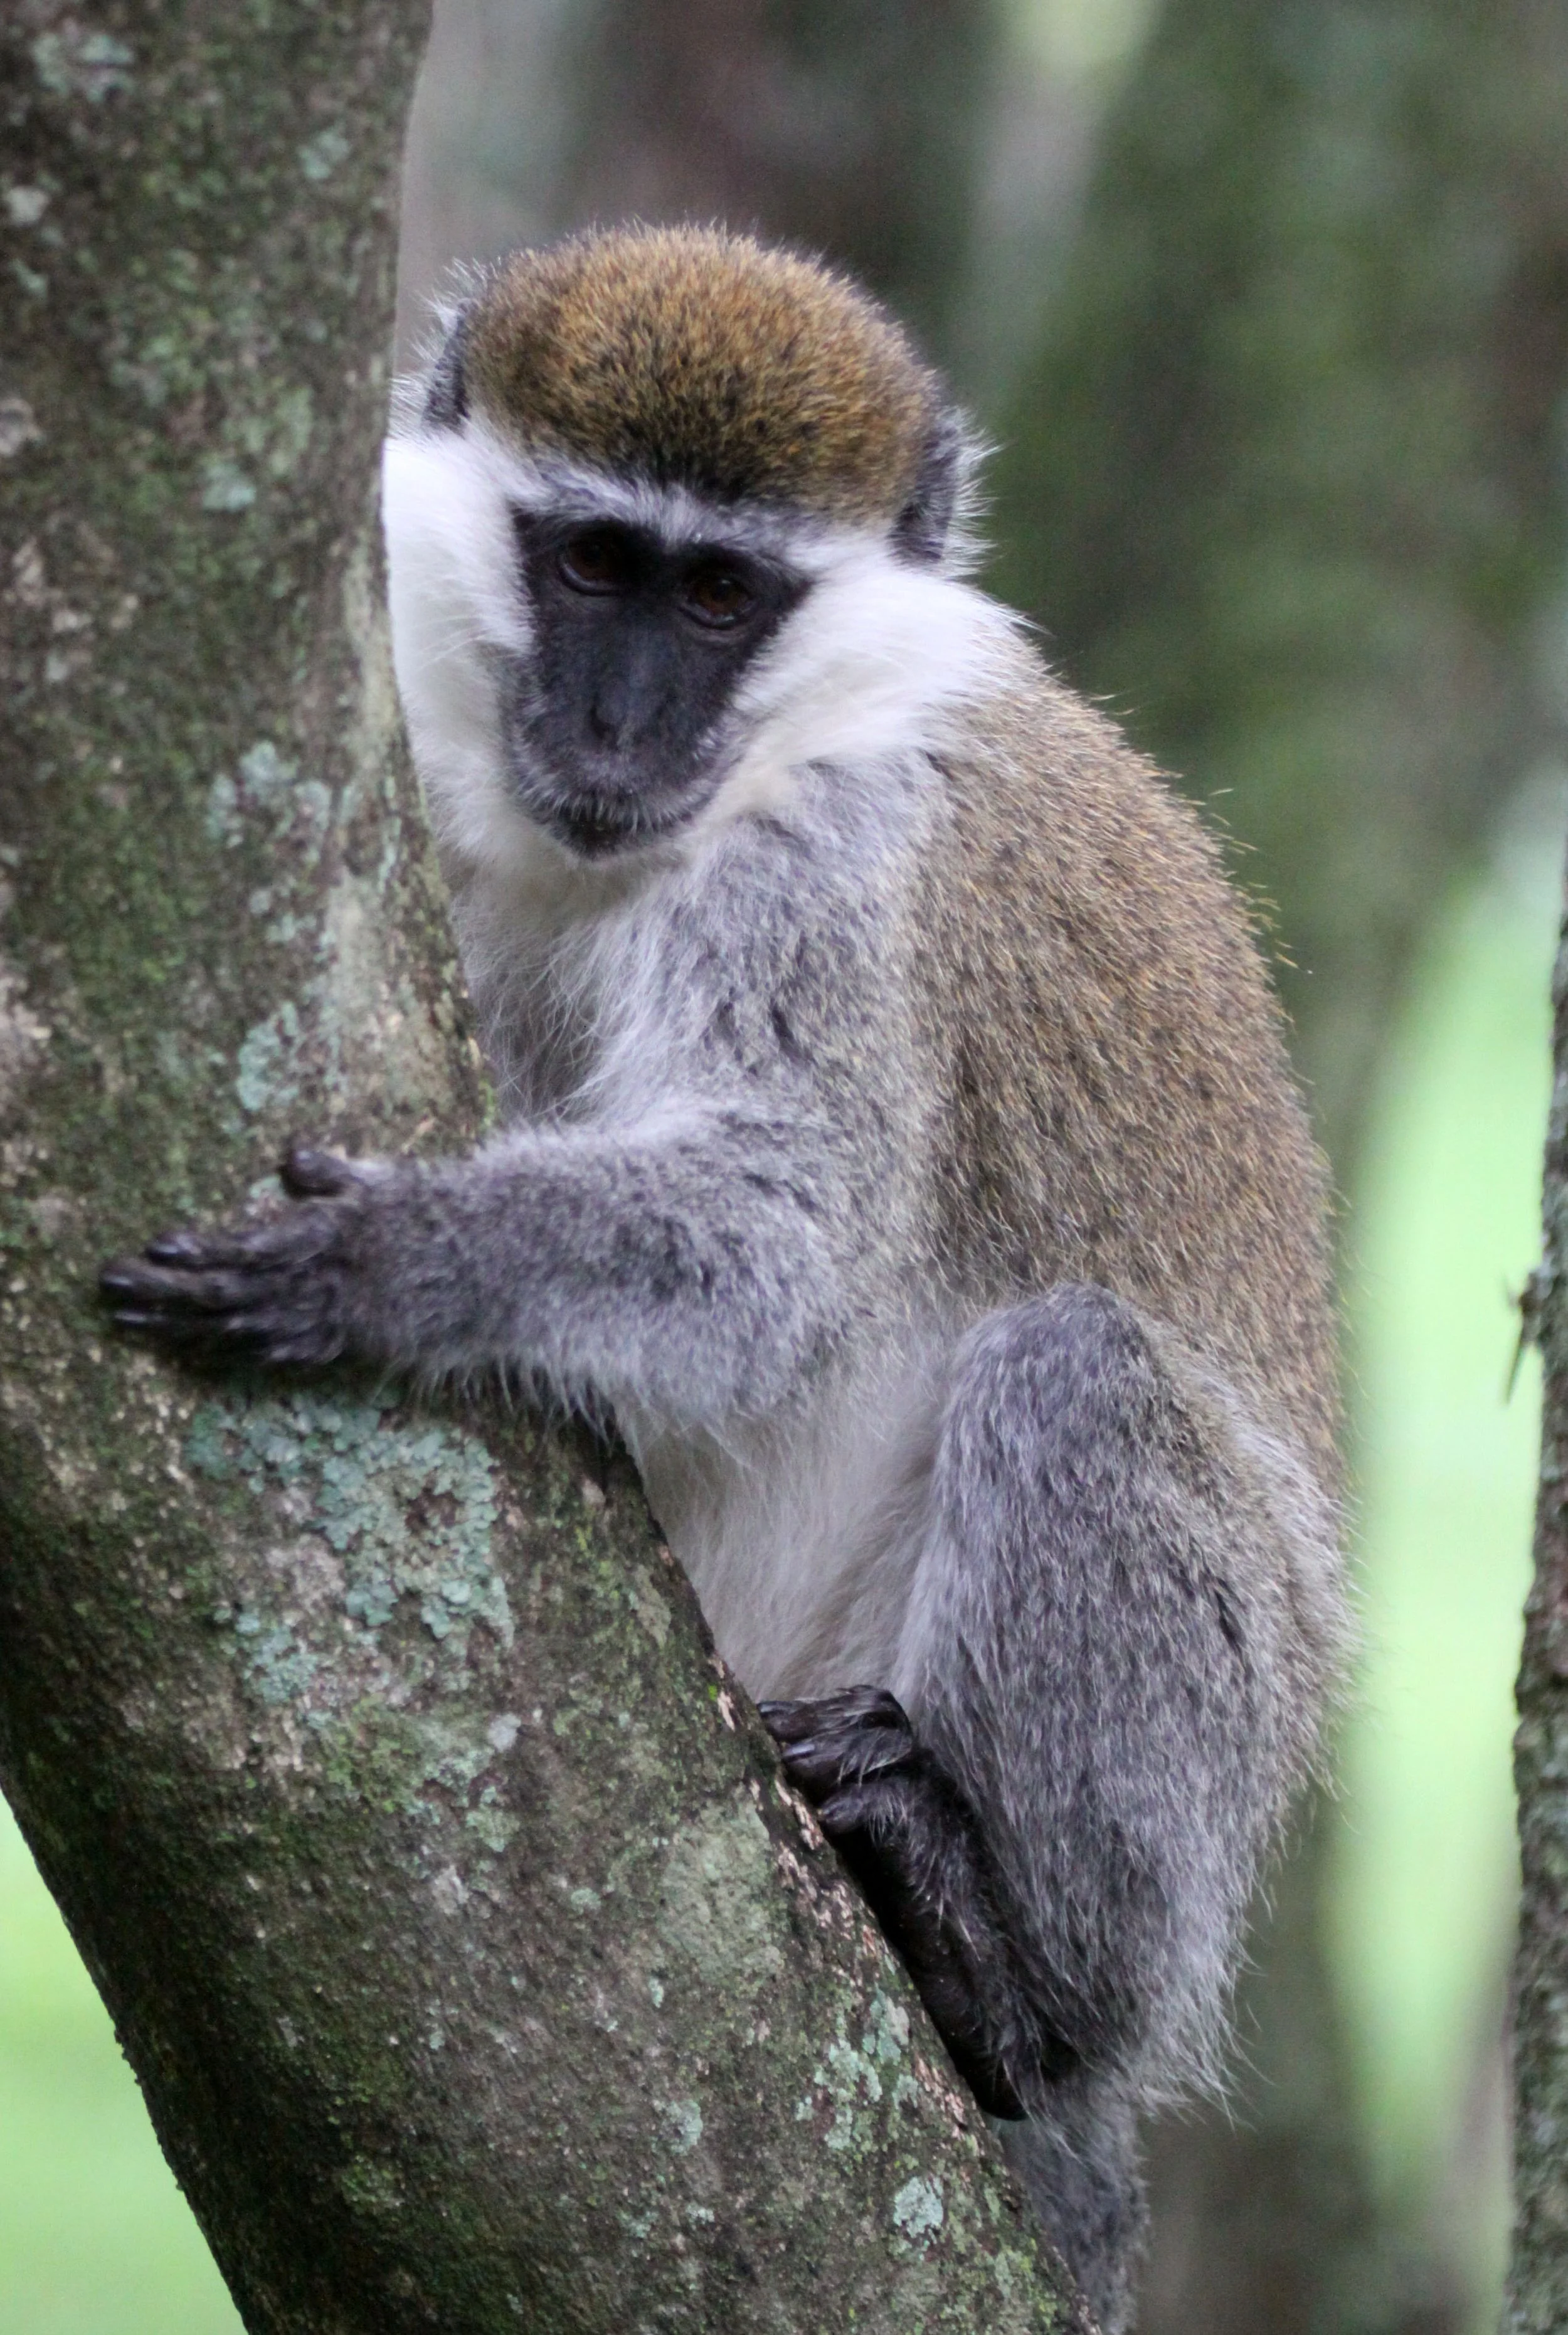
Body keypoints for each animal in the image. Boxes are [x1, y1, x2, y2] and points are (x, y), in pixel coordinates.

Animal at [102, 225, 1348, 2332]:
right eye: (593, 562)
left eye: (719, 595)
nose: (615, 729)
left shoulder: (821, 869)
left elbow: (782, 1239)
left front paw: (389, 1260)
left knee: (1074, 1371)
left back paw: (1009, 1973)